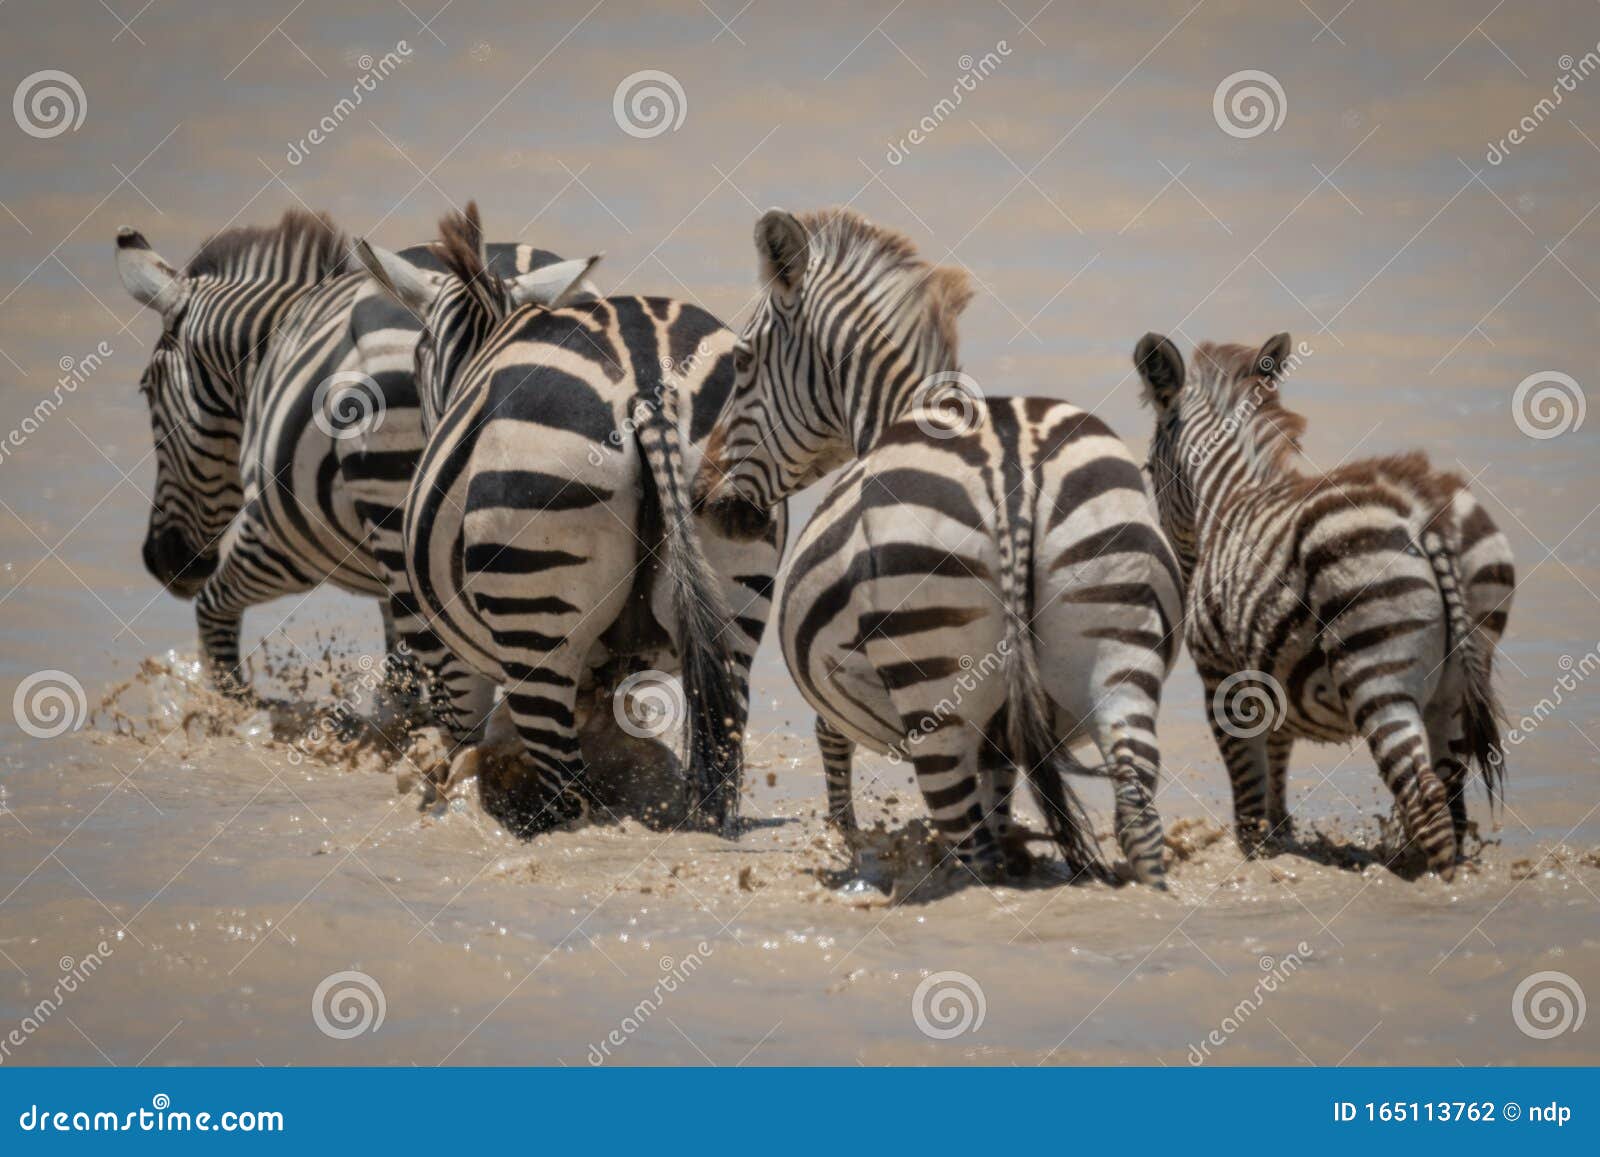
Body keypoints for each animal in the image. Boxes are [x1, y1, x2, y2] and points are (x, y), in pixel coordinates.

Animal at [114, 210, 597, 719]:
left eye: (146, 388)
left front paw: (234, 710)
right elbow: (399, 669)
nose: (162, 561)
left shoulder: (281, 544)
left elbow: (213, 612)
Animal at [353, 204, 786, 836]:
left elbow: (466, 739)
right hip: (737, 598)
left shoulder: (457, 663)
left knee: (570, 799)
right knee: (713, 776)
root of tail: (649, 390)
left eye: (417, 360)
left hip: (537, 617)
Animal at [692, 207, 1182, 887]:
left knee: (972, 854)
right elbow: (1000, 799)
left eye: (740, 363)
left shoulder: (844, 693)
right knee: (1137, 820)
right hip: (1120, 654)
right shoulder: (1003, 737)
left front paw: (847, 843)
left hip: (936, 698)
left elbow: (832, 749)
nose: (704, 498)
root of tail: (1010, 468)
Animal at [1132, 332, 1514, 879]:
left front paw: (1252, 854)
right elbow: (1276, 760)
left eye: (1147, 469)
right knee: (1450, 797)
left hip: (1376, 666)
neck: (1228, 502)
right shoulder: (1271, 675)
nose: (1181, 569)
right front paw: (1279, 837)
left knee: (1425, 799)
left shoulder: (1221, 676)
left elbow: (1247, 785)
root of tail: (1425, 513)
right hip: (1463, 673)